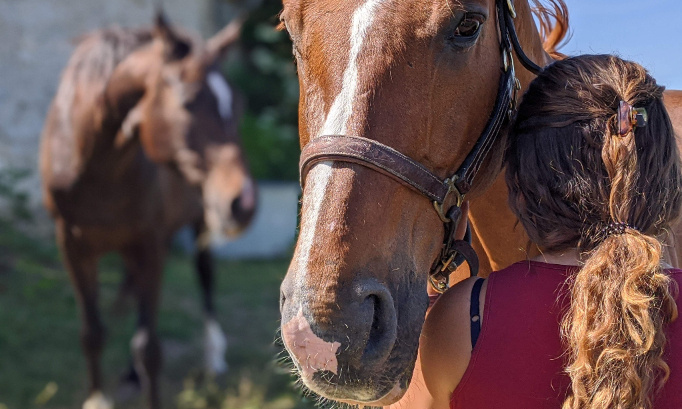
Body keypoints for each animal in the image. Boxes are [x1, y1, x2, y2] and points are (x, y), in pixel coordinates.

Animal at [39, 13, 255, 409]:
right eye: (187, 100)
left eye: (239, 103)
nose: (243, 202)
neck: (97, 166)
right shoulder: (72, 246)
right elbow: (92, 332)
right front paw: (98, 398)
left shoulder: (150, 245)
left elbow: (150, 348)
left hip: (201, 222)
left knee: (205, 276)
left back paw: (214, 355)